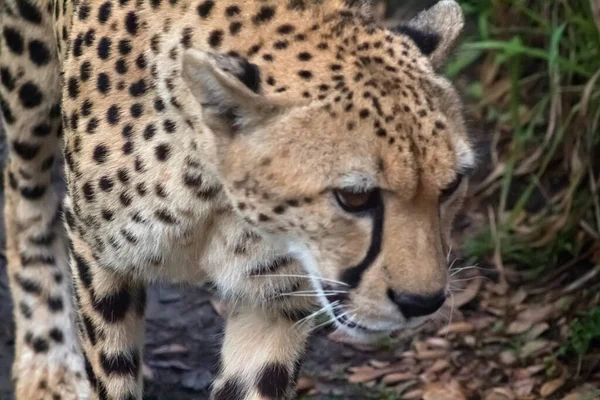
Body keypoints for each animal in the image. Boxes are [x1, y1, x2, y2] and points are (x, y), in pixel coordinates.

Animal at [2, 0, 476, 398]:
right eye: (354, 198)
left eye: (451, 186)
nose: (422, 303)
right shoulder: (98, 256)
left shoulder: (274, 296)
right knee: (21, 194)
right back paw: (47, 368)